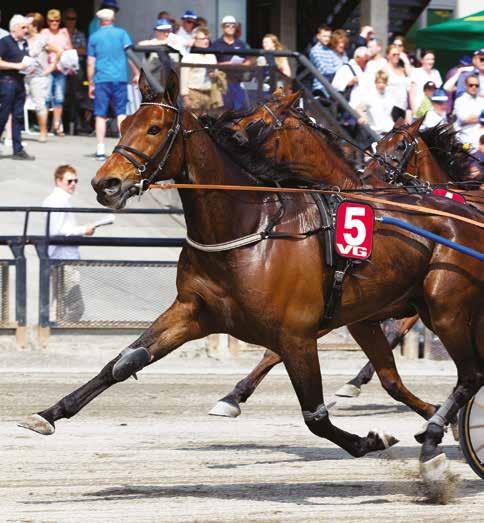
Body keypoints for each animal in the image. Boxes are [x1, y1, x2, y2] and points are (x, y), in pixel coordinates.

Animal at [19, 70, 484, 484]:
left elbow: (314, 415)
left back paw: (435, 437)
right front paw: (47, 414)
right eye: (122, 123)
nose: (106, 183)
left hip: (444, 307)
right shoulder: (193, 312)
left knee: (471, 375)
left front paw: (371, 439)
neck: (250, 228)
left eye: (154, 128)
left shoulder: (298, 332)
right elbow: (122, 363)